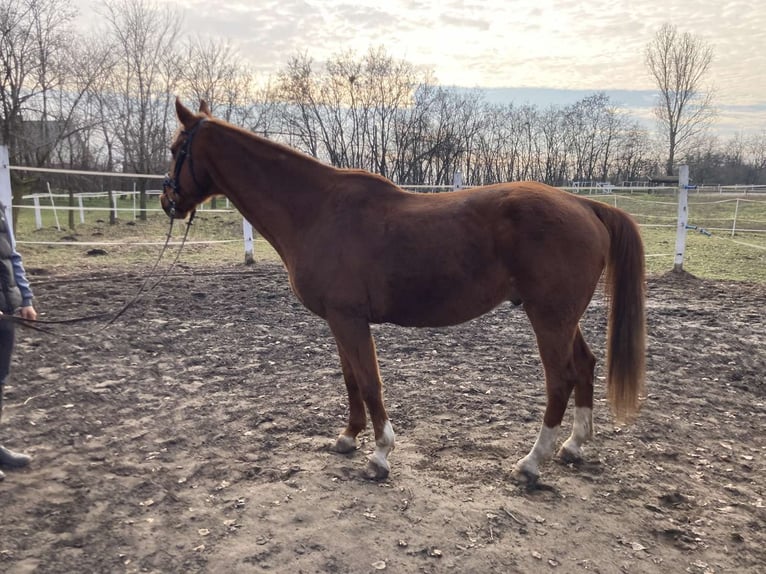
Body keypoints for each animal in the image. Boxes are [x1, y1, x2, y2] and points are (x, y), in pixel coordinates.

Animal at [162, 100, 648, 486]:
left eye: (174, 149)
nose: (168, 201)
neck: (317, 210)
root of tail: (585, 205)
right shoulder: (339, 320)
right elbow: (352, 379)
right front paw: (348, 438)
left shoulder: (349, 319)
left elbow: (370, 382)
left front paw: (380, 455)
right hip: (562, 318)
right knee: (584, 366)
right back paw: (573, 447)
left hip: (548, 318)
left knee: (560, 379)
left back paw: (531, 463)